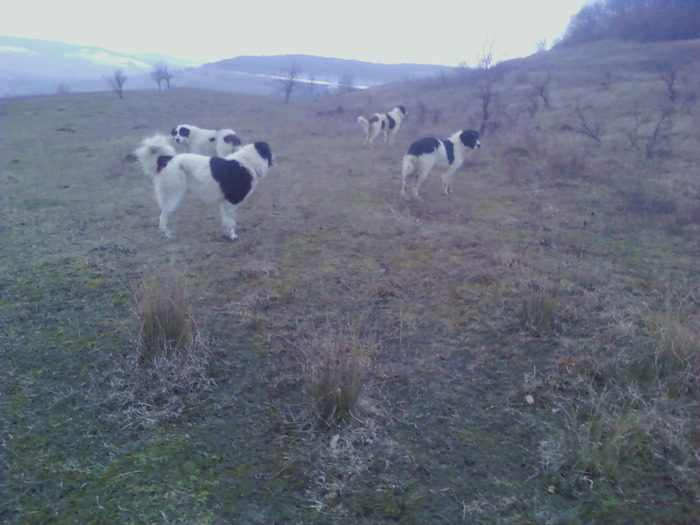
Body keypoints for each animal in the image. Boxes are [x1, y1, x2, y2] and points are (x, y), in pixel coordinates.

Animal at [134, 135, 274, 242]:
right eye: (270, 151)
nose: (275, 157)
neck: (248, 162)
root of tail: (166, 159)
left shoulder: (225, 202)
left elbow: (226, 220)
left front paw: (226, 234)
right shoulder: (231, 201)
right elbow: (231, 221)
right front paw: (233, 236)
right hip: (172, 195)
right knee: (163, 217)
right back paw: (168, 236)